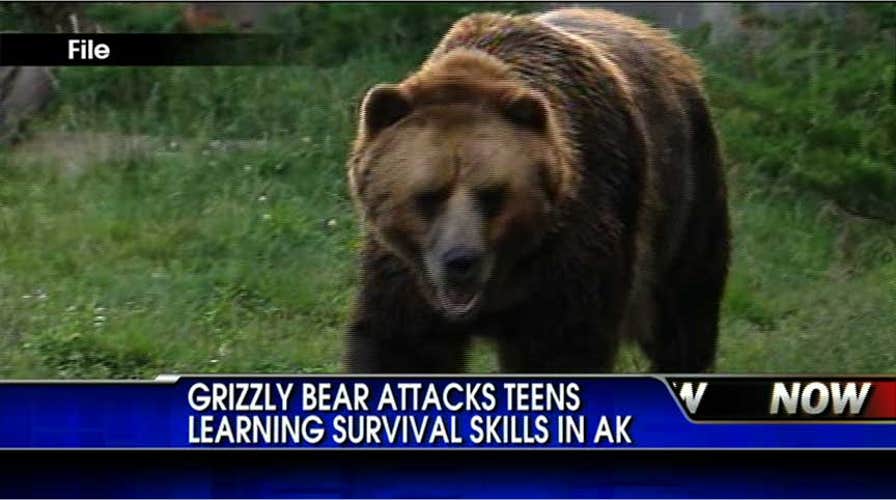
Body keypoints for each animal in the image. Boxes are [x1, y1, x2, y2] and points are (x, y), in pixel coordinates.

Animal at [343, 8, 730, 373]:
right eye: (429, 194)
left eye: (492, 194)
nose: (461, 261)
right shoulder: (404, 278)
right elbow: (401, 347)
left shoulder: (571, 257)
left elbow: (563, 349)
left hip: (684, 193)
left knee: (684, 309)